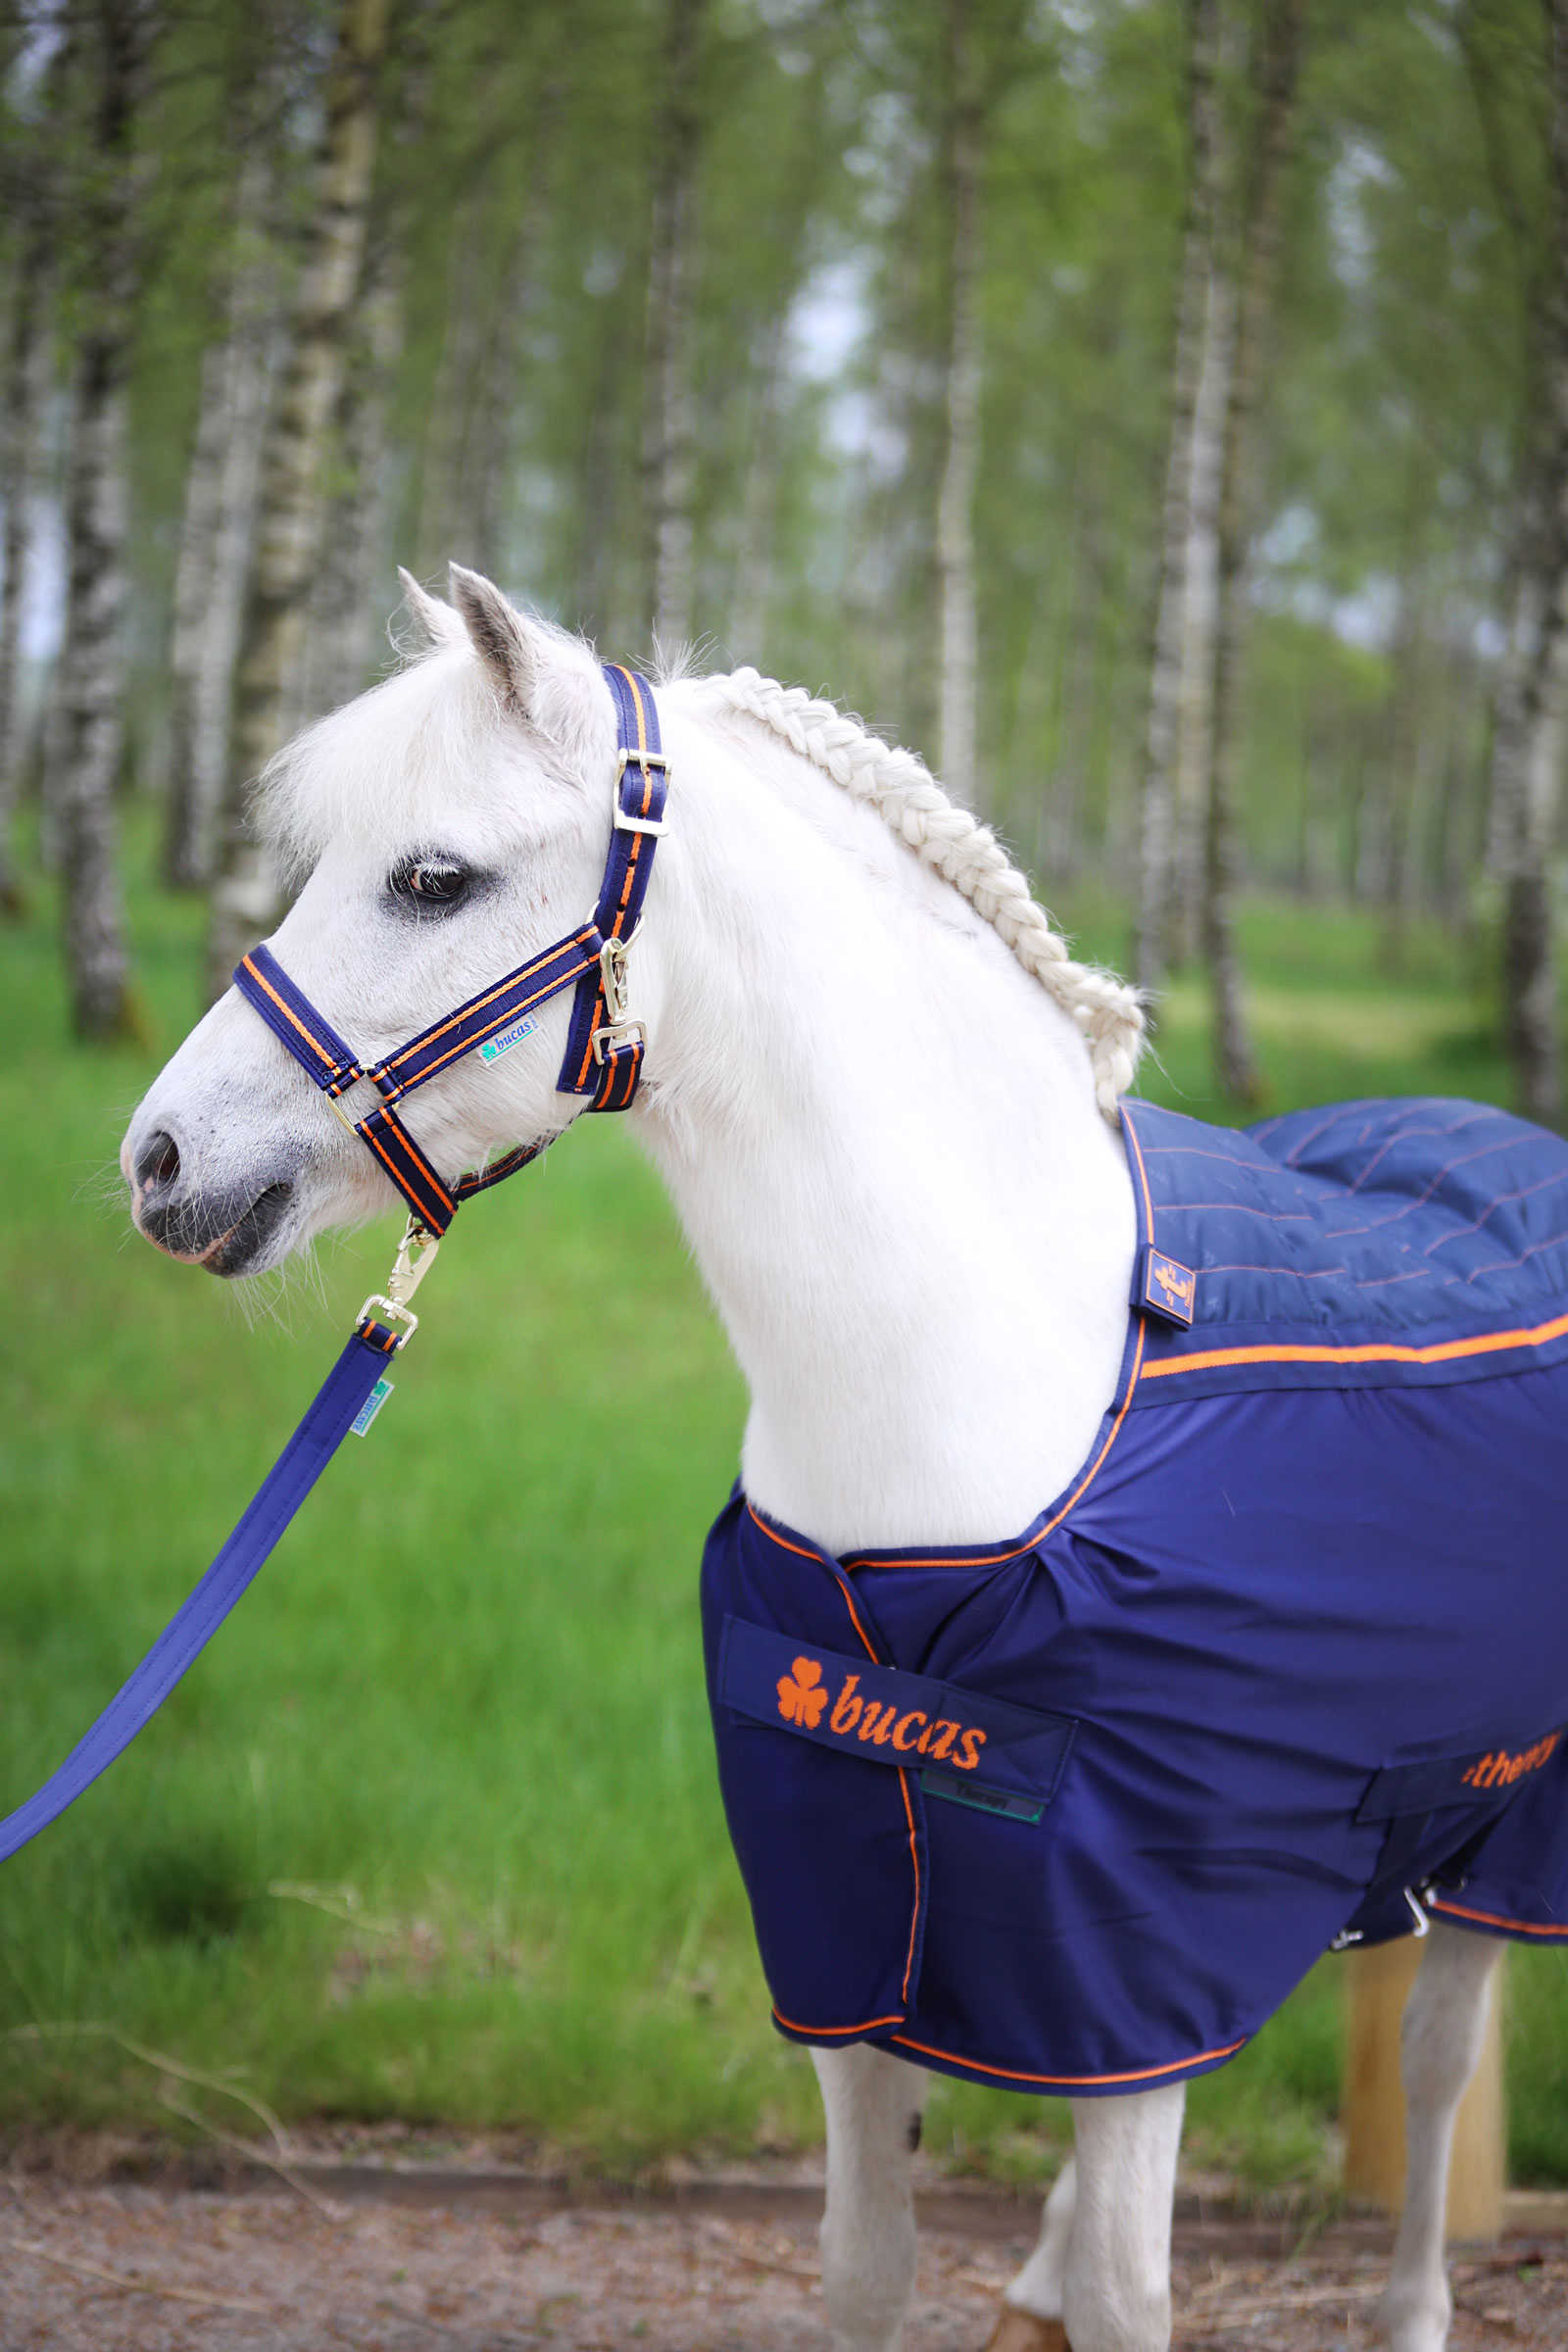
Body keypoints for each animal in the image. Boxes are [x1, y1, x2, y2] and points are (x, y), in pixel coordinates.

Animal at [119, 564, 1526, 2352]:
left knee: (1436, 2064)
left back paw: (1407, 2307)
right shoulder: (879, 1929)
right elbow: (868, 2263)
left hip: (1495, 1842)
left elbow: (1141, 2288)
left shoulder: (1136, 1940)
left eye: (433, 878)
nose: (158, 1162)